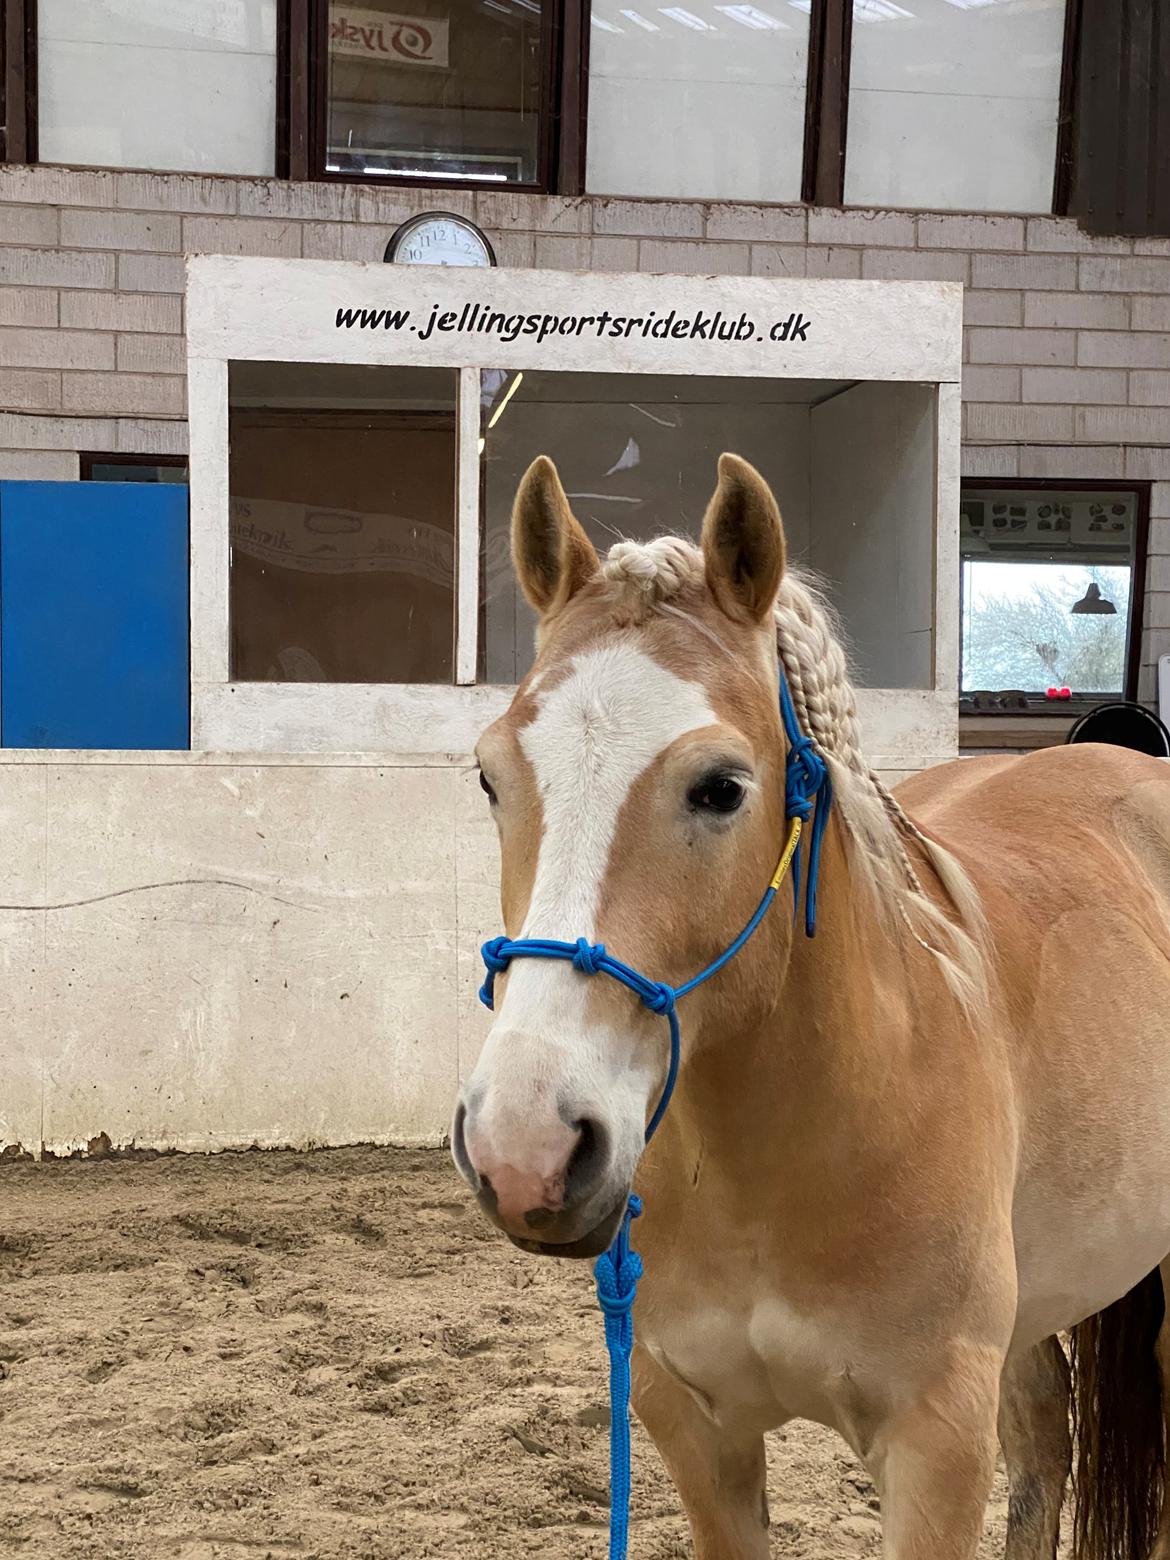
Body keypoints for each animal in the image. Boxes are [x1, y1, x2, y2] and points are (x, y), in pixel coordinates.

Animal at [452, 452, 1170, 1560]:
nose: (524, 1149)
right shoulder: (693, 1429)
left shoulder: (934, 1445)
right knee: (1046, 1437)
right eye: (492, 776)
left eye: (721, 786)